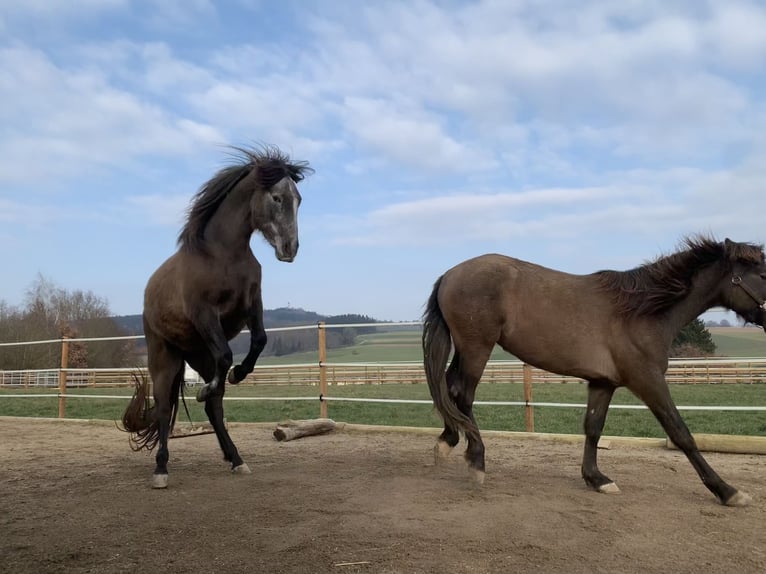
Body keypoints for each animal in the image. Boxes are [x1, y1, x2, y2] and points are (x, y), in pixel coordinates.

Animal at [122, 145, 312, 490]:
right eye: (277, 198)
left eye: (299, 199)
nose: (290, 249)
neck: (223, 255)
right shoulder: (204, 313)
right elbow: (226, 353)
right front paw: (214, 383)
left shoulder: (253, 305)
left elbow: (259, 340)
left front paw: (238, 374)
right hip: (164, 357)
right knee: (164, 407)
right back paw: (161, 469)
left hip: (198, 355)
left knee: (214, 407)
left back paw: (236, 458)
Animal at [426, 237, 766, 508]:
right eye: (762, 274)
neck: (642, 311)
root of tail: (450, 274)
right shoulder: (648, 380)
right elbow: (680, 432)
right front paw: (727, 491)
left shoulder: (603, 384)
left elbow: (593, 428)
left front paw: (596, 479)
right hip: (477, 349)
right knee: (462, 395)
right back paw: (476, 461)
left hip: (466, 351)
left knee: (448, 390)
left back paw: (447, 442)